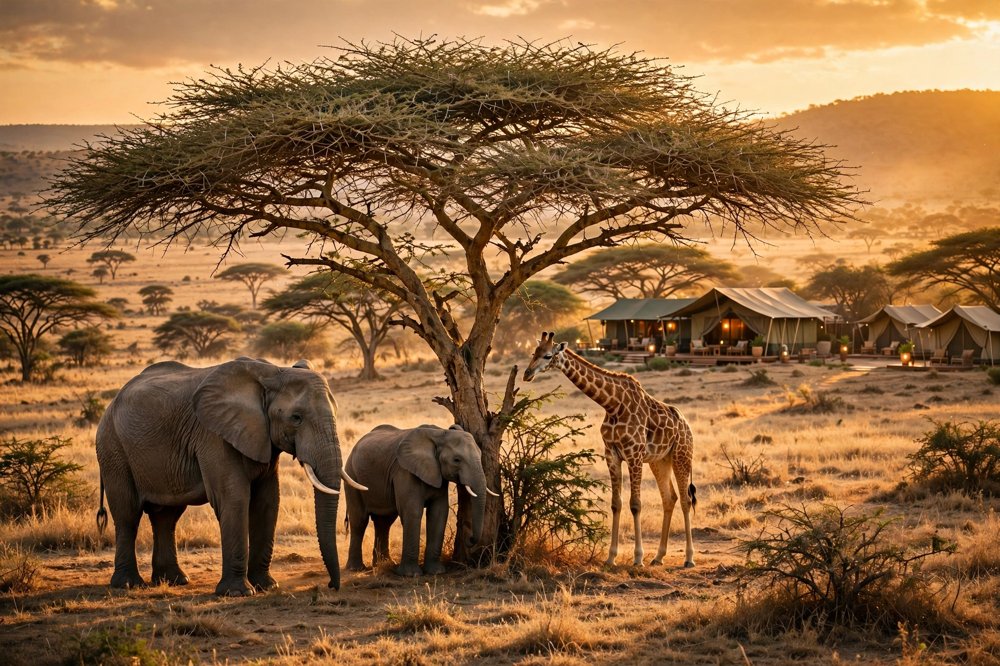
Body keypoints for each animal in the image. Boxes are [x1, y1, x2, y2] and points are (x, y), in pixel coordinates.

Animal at [94, 357, 367, 596]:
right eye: (296, 418)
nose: (331, 585)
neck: (272, 372)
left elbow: (268, 501)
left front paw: (267, 586)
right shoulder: (213, 435)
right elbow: (234, 498)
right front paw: (238, 592)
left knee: (167, 516)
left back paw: (175, 581)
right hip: (112, 447)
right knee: (128, 514)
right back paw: (128, 585)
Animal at [344, 424, 496, 576]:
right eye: (456, 460)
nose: (469, 539)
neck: (439, 434)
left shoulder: (438, 476)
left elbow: (439, 513)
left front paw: (436, 572)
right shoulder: (405, 472)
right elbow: (413, 512)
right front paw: (411, 575)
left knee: (384, 522)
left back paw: (384, 564)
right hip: (352, 476)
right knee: (359, 521)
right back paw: (356, 568)